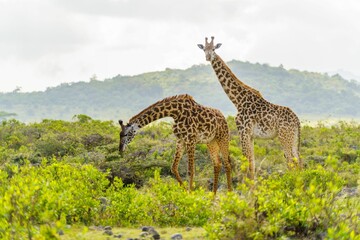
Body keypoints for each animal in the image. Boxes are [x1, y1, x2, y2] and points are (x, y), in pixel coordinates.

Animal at [197, 36, 300, 178]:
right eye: (204, 49)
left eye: (213, 49)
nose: (207, 57)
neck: (237, 100)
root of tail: (297, 120)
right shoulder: (250, 135)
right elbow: (252, 164)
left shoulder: (243, 131)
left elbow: (246, 163)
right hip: (293, 138)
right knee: (299, 161)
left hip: (284, 137)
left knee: (291, 162)